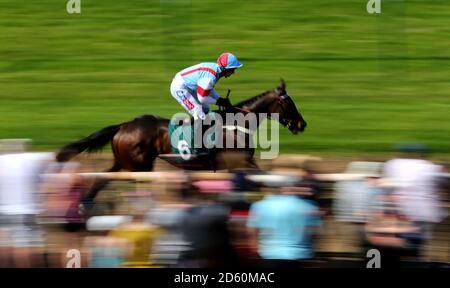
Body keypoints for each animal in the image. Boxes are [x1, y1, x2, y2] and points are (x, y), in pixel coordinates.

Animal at [53, 80, 306, 210]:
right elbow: (264, 179)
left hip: (125, 163)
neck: (237, 125)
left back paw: (86, 204)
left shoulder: (236, 167)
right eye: (289, 103)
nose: (302, 124)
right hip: (139, 166)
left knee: (101, 178)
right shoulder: (240, 163)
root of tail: (124, 125)